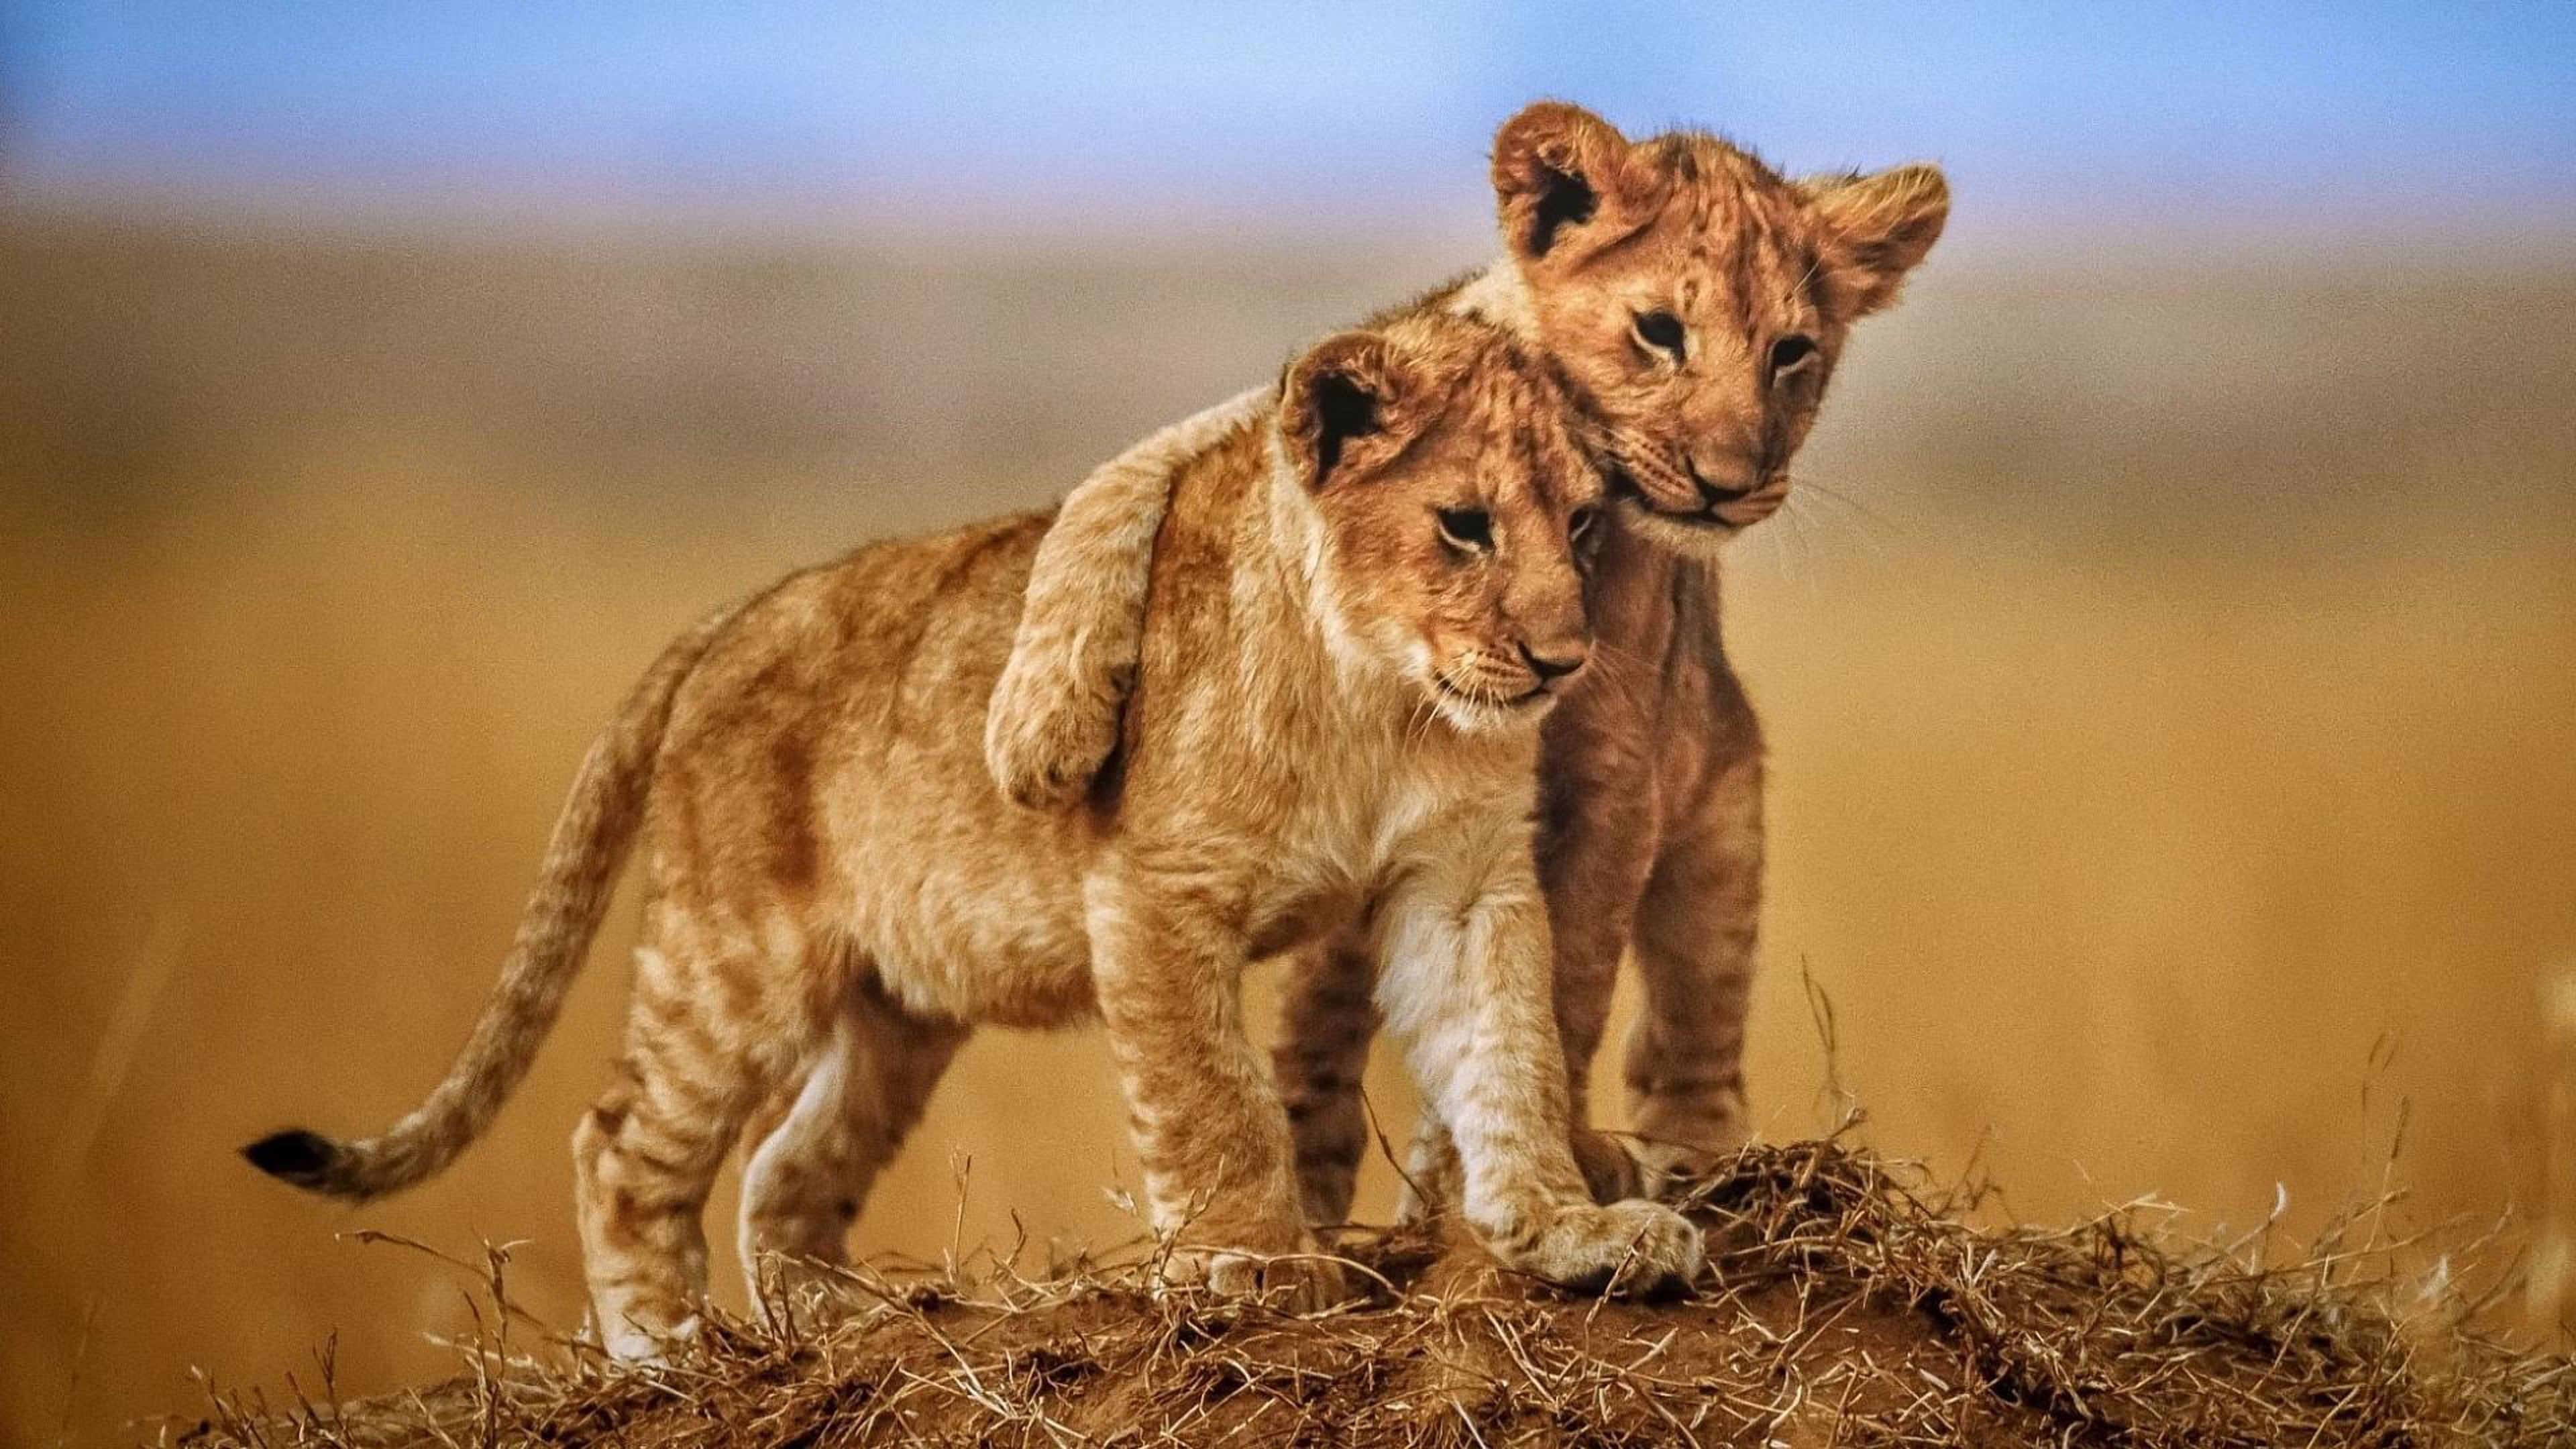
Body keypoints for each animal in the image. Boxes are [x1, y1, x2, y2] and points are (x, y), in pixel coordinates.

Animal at [242, 310, 1702, 1361]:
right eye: (1463, 526)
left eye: (1582, 522)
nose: (1564, 659)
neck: (1379, 700)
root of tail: (734, 615)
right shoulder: (1155, 892)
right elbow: (1215, 1101)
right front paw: (1253, 1264)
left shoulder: (1460, 884)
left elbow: (1509, 1051)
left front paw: (1571, 1230)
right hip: (735, 962)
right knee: (620, 1146)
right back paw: (665, 1353)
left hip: (899, 1008)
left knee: (784, 1172)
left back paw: (850, 1326)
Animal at [983, 102, 1949, 1222]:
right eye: (1660, 331)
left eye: (1793, 352)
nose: (1729, 483)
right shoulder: (1292, 417)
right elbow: (1121, 482)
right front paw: (1041, 729)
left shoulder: (1619, 776)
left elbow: (1565, 980)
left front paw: (1521, 1170)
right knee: (1319, 1027)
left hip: (1721, 819)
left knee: (1689, 1031)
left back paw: (1695, 1166)